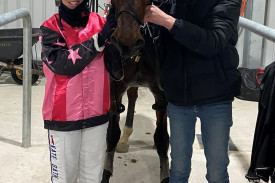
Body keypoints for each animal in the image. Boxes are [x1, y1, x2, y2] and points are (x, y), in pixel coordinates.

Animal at [101, 0, 170, 183]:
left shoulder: (163, 93)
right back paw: (124, 139)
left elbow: (162, 138)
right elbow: (112, 134)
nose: (127, 42)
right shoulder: (115, 87)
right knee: (132, 97)